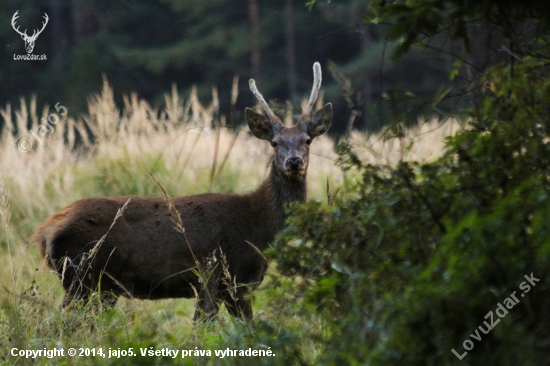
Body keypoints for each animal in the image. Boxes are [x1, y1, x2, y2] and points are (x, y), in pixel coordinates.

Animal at [33, 61, 332, 322]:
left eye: (307, 140)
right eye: (274, 142)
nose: (294, 161)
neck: (260, 228)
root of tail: (44, 233)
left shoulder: (226, 285)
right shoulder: (219, 276)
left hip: (98, 285)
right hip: (83, 275)